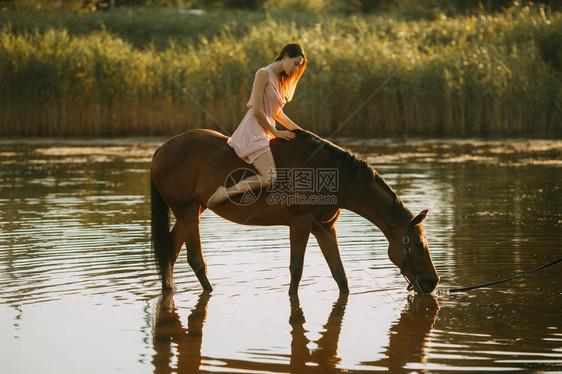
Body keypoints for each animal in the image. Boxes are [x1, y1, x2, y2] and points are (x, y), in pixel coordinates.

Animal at [151, 129, 440, 296]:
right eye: (417, 244)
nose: (433, 282)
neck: (332, 173)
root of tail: (162, 149)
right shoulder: (300, 224)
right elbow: (296, 269)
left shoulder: (325, 227)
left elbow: (340, 275)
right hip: (188, 212)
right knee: (195, 260)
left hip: (191, 212)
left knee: (170, 251)